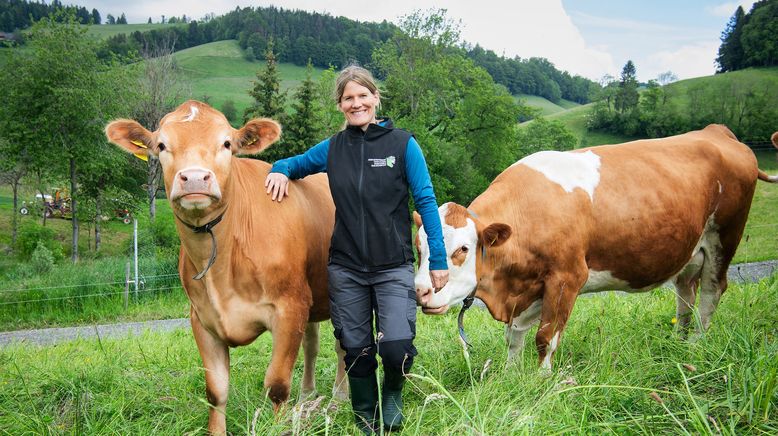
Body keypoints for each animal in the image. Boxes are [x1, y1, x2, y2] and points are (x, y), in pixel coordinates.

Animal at [104, 101, 348, 432]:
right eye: (162, 145)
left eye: (227, 144)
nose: (195, 178)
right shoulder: (202, 319)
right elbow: (215, 390)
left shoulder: (290, 307)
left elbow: (277, 384)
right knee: (312, 344)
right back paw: (308, 395)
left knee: (343, 347)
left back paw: (339, 397)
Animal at [412, 124, 776, 370]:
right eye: (419, 248)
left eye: (462, 249)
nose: (420, 291)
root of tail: (718, 132)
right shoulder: (525, 292)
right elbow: (513, 338)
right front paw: (510, 375)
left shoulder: (567, 278)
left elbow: (545, 338)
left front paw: (542, 384)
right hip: (689, 251)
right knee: (685, 294)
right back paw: (679, 343)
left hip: (723, 238)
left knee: (712, 292)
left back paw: (697, 346)